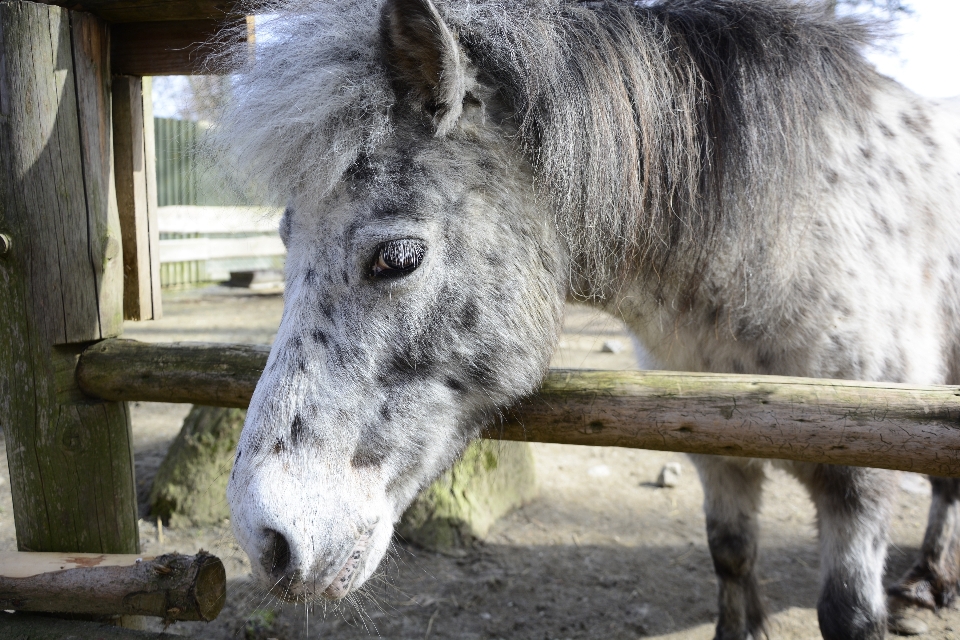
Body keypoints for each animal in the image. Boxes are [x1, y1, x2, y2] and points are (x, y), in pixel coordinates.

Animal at [216, 1, 960, 640]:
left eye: (397, 257)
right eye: (285, 237)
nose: (267, 539)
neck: (784, 242)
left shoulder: (861, 482)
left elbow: (847, 613)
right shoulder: (717, 454)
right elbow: (732, 556)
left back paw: (929, 581)